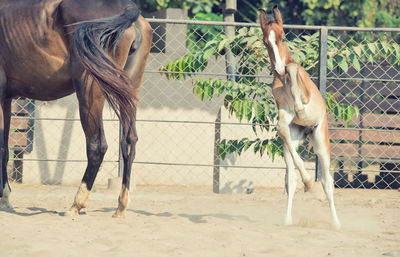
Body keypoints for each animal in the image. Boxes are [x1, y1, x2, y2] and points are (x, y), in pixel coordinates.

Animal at [0, 0, 152, 218]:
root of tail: (126, 8)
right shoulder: (6, 99)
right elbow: (5, 149)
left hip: (89, 93)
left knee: (97, 146)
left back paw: (76, 204)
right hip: (130, 90)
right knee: (129, 142)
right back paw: (120, 206)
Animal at [260, 5, 340, 228]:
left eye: (283, 36)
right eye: (265, 41)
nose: (278, 69)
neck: (283, 81)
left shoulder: (305, 95)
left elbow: (293, 68)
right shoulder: (284, 112)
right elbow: (280, 126)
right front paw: (308, 181)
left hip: (321, 142)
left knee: (328, 182)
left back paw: (336, 222)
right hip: (292, 144)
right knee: (292, 177)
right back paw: (289, 217)